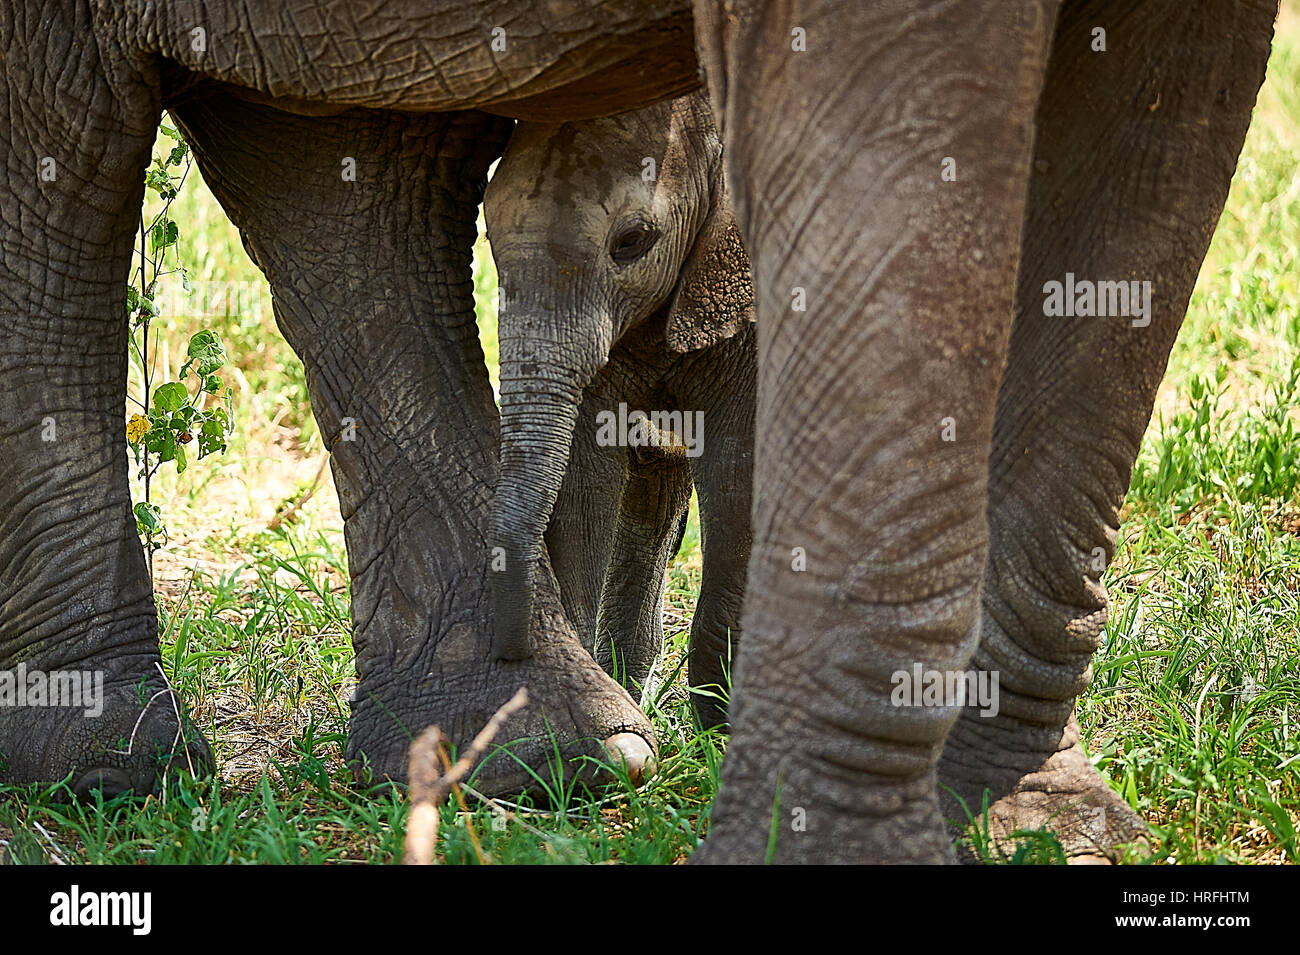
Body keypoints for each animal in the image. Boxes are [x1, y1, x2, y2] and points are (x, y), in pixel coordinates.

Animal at [486, 91, 759, 732]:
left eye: (631, 242)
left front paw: (720, 727)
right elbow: (586, 475)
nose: (510, 652)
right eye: (486, 235)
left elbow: (738, 469)